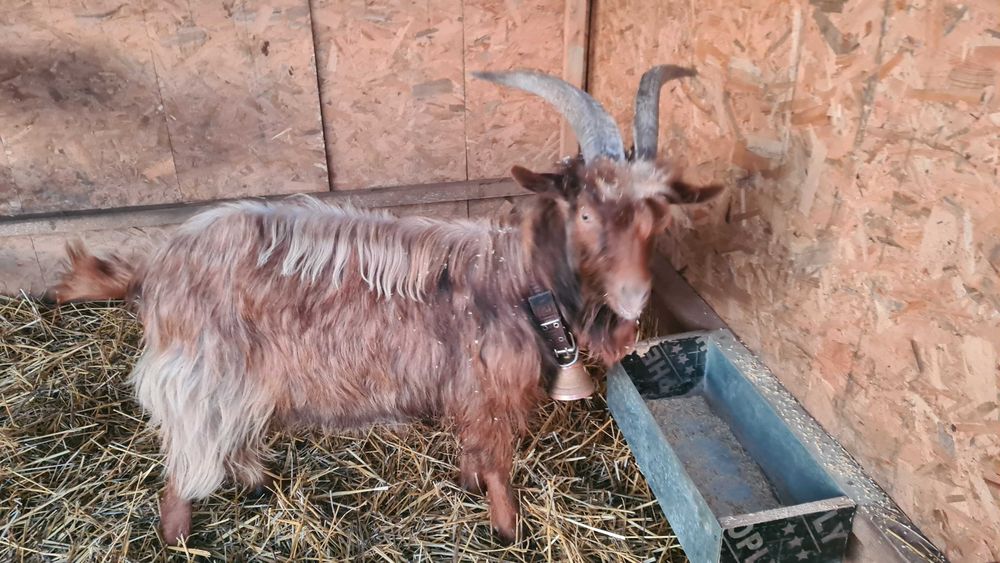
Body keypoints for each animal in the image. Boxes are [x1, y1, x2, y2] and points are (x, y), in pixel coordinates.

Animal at [52, 65, 724, 546]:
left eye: (658, 219)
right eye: (584, 213)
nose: (635, 299)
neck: (513, 279)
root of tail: (158, 266)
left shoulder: (466, 390)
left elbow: (474, 452)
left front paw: (469, 487)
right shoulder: (488, 389)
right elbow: (498, 462)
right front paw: (508, 530)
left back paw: (257, 482)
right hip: (202, 374)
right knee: (184, 465)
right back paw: (181, 537)